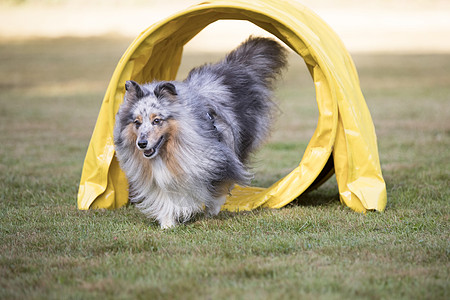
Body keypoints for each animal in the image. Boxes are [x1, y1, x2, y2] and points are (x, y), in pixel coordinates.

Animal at [113, 36, 288, 229]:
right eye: (137, 122)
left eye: (157, 120)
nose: (141, 144)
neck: (168, 151)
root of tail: (233, 67)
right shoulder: (161, 177)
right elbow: (166, 198)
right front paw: (167, 224)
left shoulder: (220, 160)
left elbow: (218, 189)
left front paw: (211, 211)